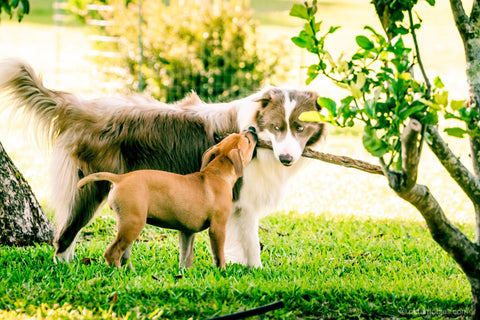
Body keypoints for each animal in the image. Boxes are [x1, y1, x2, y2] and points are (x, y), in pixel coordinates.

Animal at [77, 129, 256, 268]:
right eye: (247, 140)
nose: (252, 129)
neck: (217, 174)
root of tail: (120, 178)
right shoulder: (217, 228)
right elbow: (219, 255)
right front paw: (222, 271)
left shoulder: (187, 231)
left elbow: (186, 256)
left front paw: (184, 274)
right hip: (132, 223)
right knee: (112, 253)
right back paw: (118, 272)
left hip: (128, 225)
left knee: (123, 254)